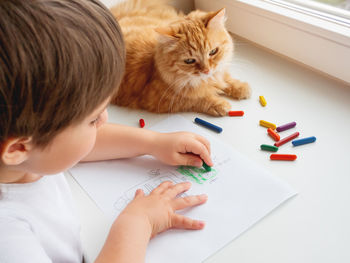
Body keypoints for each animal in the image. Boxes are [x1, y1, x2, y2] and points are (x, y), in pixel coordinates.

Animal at [110, 0, 250, 116]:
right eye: (189, 61)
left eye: (213, 52)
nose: (206, 70)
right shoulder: (163, 100)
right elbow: (198, 99)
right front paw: (219, 104)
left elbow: (225, 78)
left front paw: (241, 87)